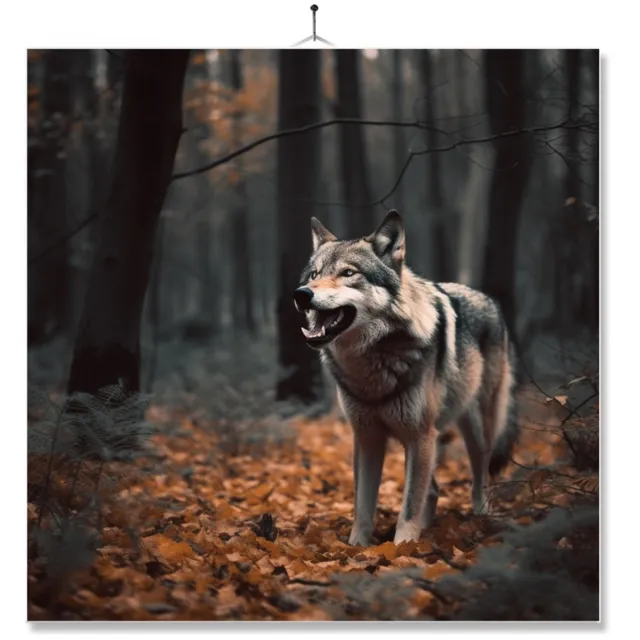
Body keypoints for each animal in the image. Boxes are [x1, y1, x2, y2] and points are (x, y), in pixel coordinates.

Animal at [293, 210, 519, 546]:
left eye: (348, 273)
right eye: (313, 274)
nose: (301, 295)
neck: (372, 362)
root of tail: (488, 299)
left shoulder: (420, 435)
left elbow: (409, 503)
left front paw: (403, 547)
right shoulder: (368, 438)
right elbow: (363, 505)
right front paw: (357, 547)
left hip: (473, 429)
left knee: (480, 477)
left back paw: (481, 515)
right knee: (433, 488)